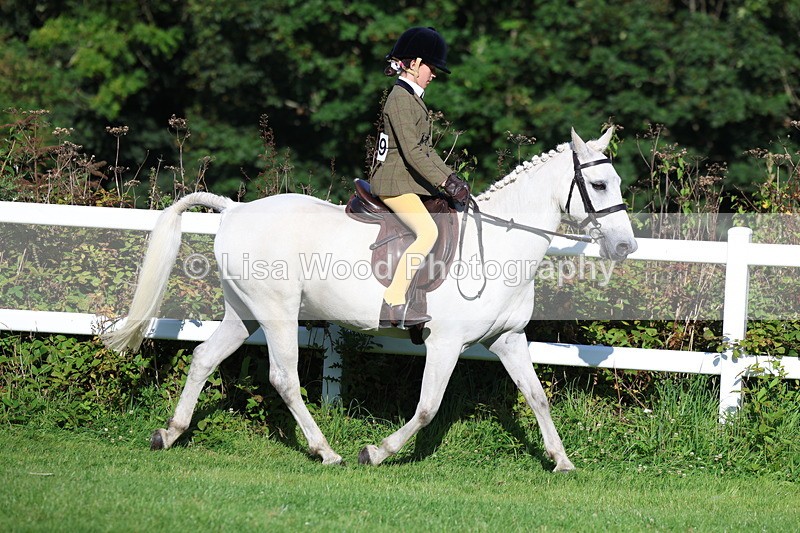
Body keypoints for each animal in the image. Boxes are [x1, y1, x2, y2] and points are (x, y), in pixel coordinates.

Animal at [104, 127, 637, 471]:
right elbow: (427, 407)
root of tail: (235, 210)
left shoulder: (507, 339)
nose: (625, 247)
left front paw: (562, 461)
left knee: (203, 359)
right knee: (284, 378)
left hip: (244, 313)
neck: (499, 247)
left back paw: (169, 433)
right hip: (276, 311)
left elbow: (537, 397)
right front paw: (376, 452)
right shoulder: (445, 343)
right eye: (597, 184)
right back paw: (327, 451)